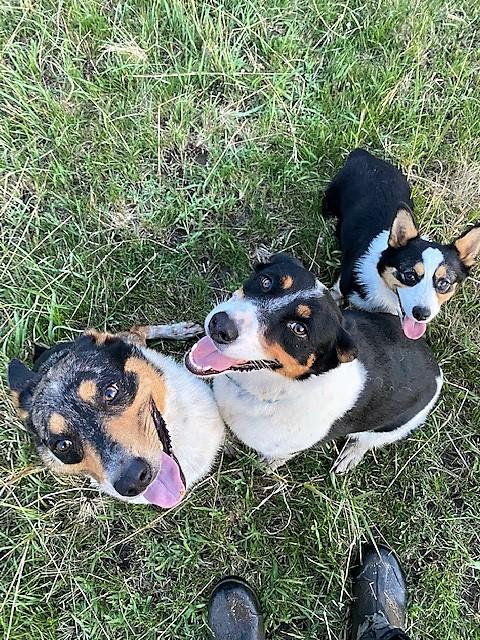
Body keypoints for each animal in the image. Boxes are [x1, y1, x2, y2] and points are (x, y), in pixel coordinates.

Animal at [184, 252, 442, 472]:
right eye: (266, 282)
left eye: (299, 329)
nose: (219, 326)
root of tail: (435, 367)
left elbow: (274, 459)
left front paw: (265, 465)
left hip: (395, 426)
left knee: (368, 441)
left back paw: (351, 454)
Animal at [322, 149, 480, 340]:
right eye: (410, 275)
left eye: (444, 283)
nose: (421, 314)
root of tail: (363, 154)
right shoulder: (346, 281)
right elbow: (336, 292)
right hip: (330, 200)